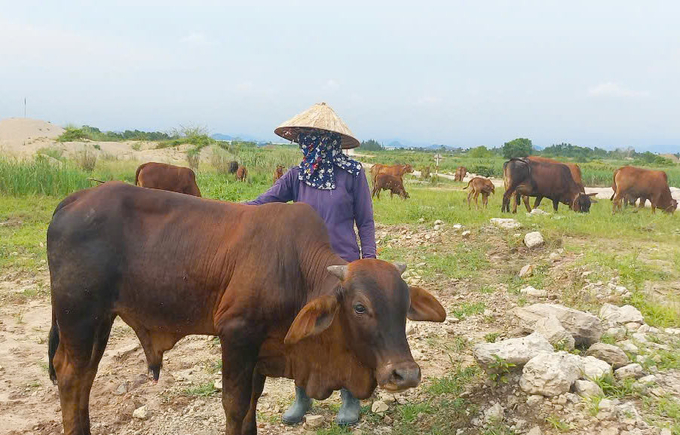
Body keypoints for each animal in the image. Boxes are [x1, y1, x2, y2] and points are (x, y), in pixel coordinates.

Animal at [47, 181, 446, 435]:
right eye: (360, 307)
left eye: (405, 304)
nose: (405, 374)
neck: (296, 268)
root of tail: (74, 199)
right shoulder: (237, 335)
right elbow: (235, 406)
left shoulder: (262, 349)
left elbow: (252, 406)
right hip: (79, 316)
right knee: (70, 376)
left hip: (99, 320)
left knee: (83, 378)